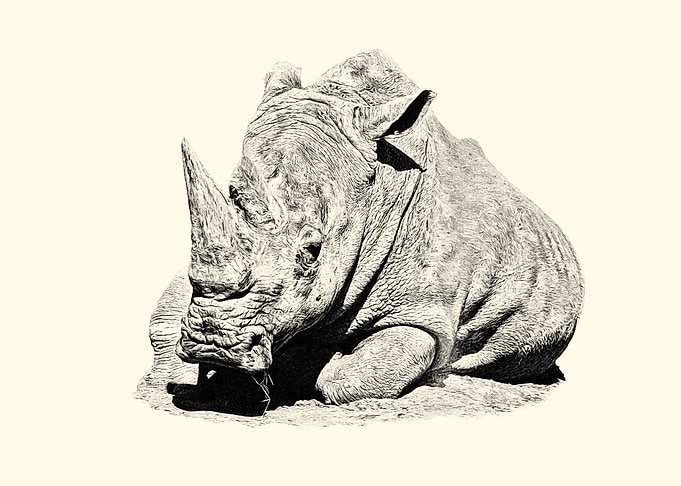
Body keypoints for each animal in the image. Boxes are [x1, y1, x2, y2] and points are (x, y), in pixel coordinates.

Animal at [149, 50, 584, 407]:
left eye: (312, 254)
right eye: (231, 201)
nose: (212, 343)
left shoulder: (424, 312)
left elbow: (352, 377)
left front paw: (300, 365)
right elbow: (165, 316)